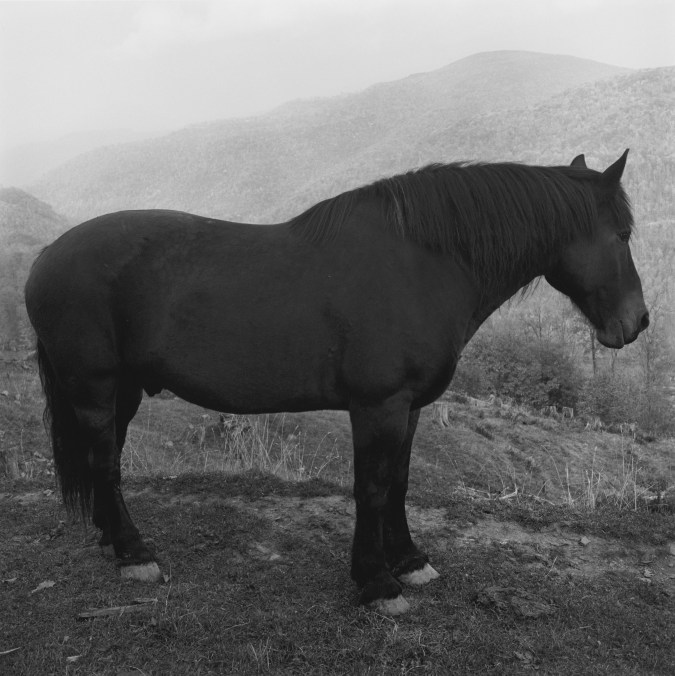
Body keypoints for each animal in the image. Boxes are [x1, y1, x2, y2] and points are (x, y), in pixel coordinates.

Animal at [25, 151, 648, 615]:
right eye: (621, 234)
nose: (638, 322)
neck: (420, 265)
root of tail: (45, 257)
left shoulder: (409, 407)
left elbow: (398, 483)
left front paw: (410, 561)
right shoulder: (378, 406)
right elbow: (371, 487)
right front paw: (375, 583)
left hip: (122, 392)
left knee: (105, 460)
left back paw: (112, 539)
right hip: (95, 387)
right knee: (105, 462)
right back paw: (134, 554)